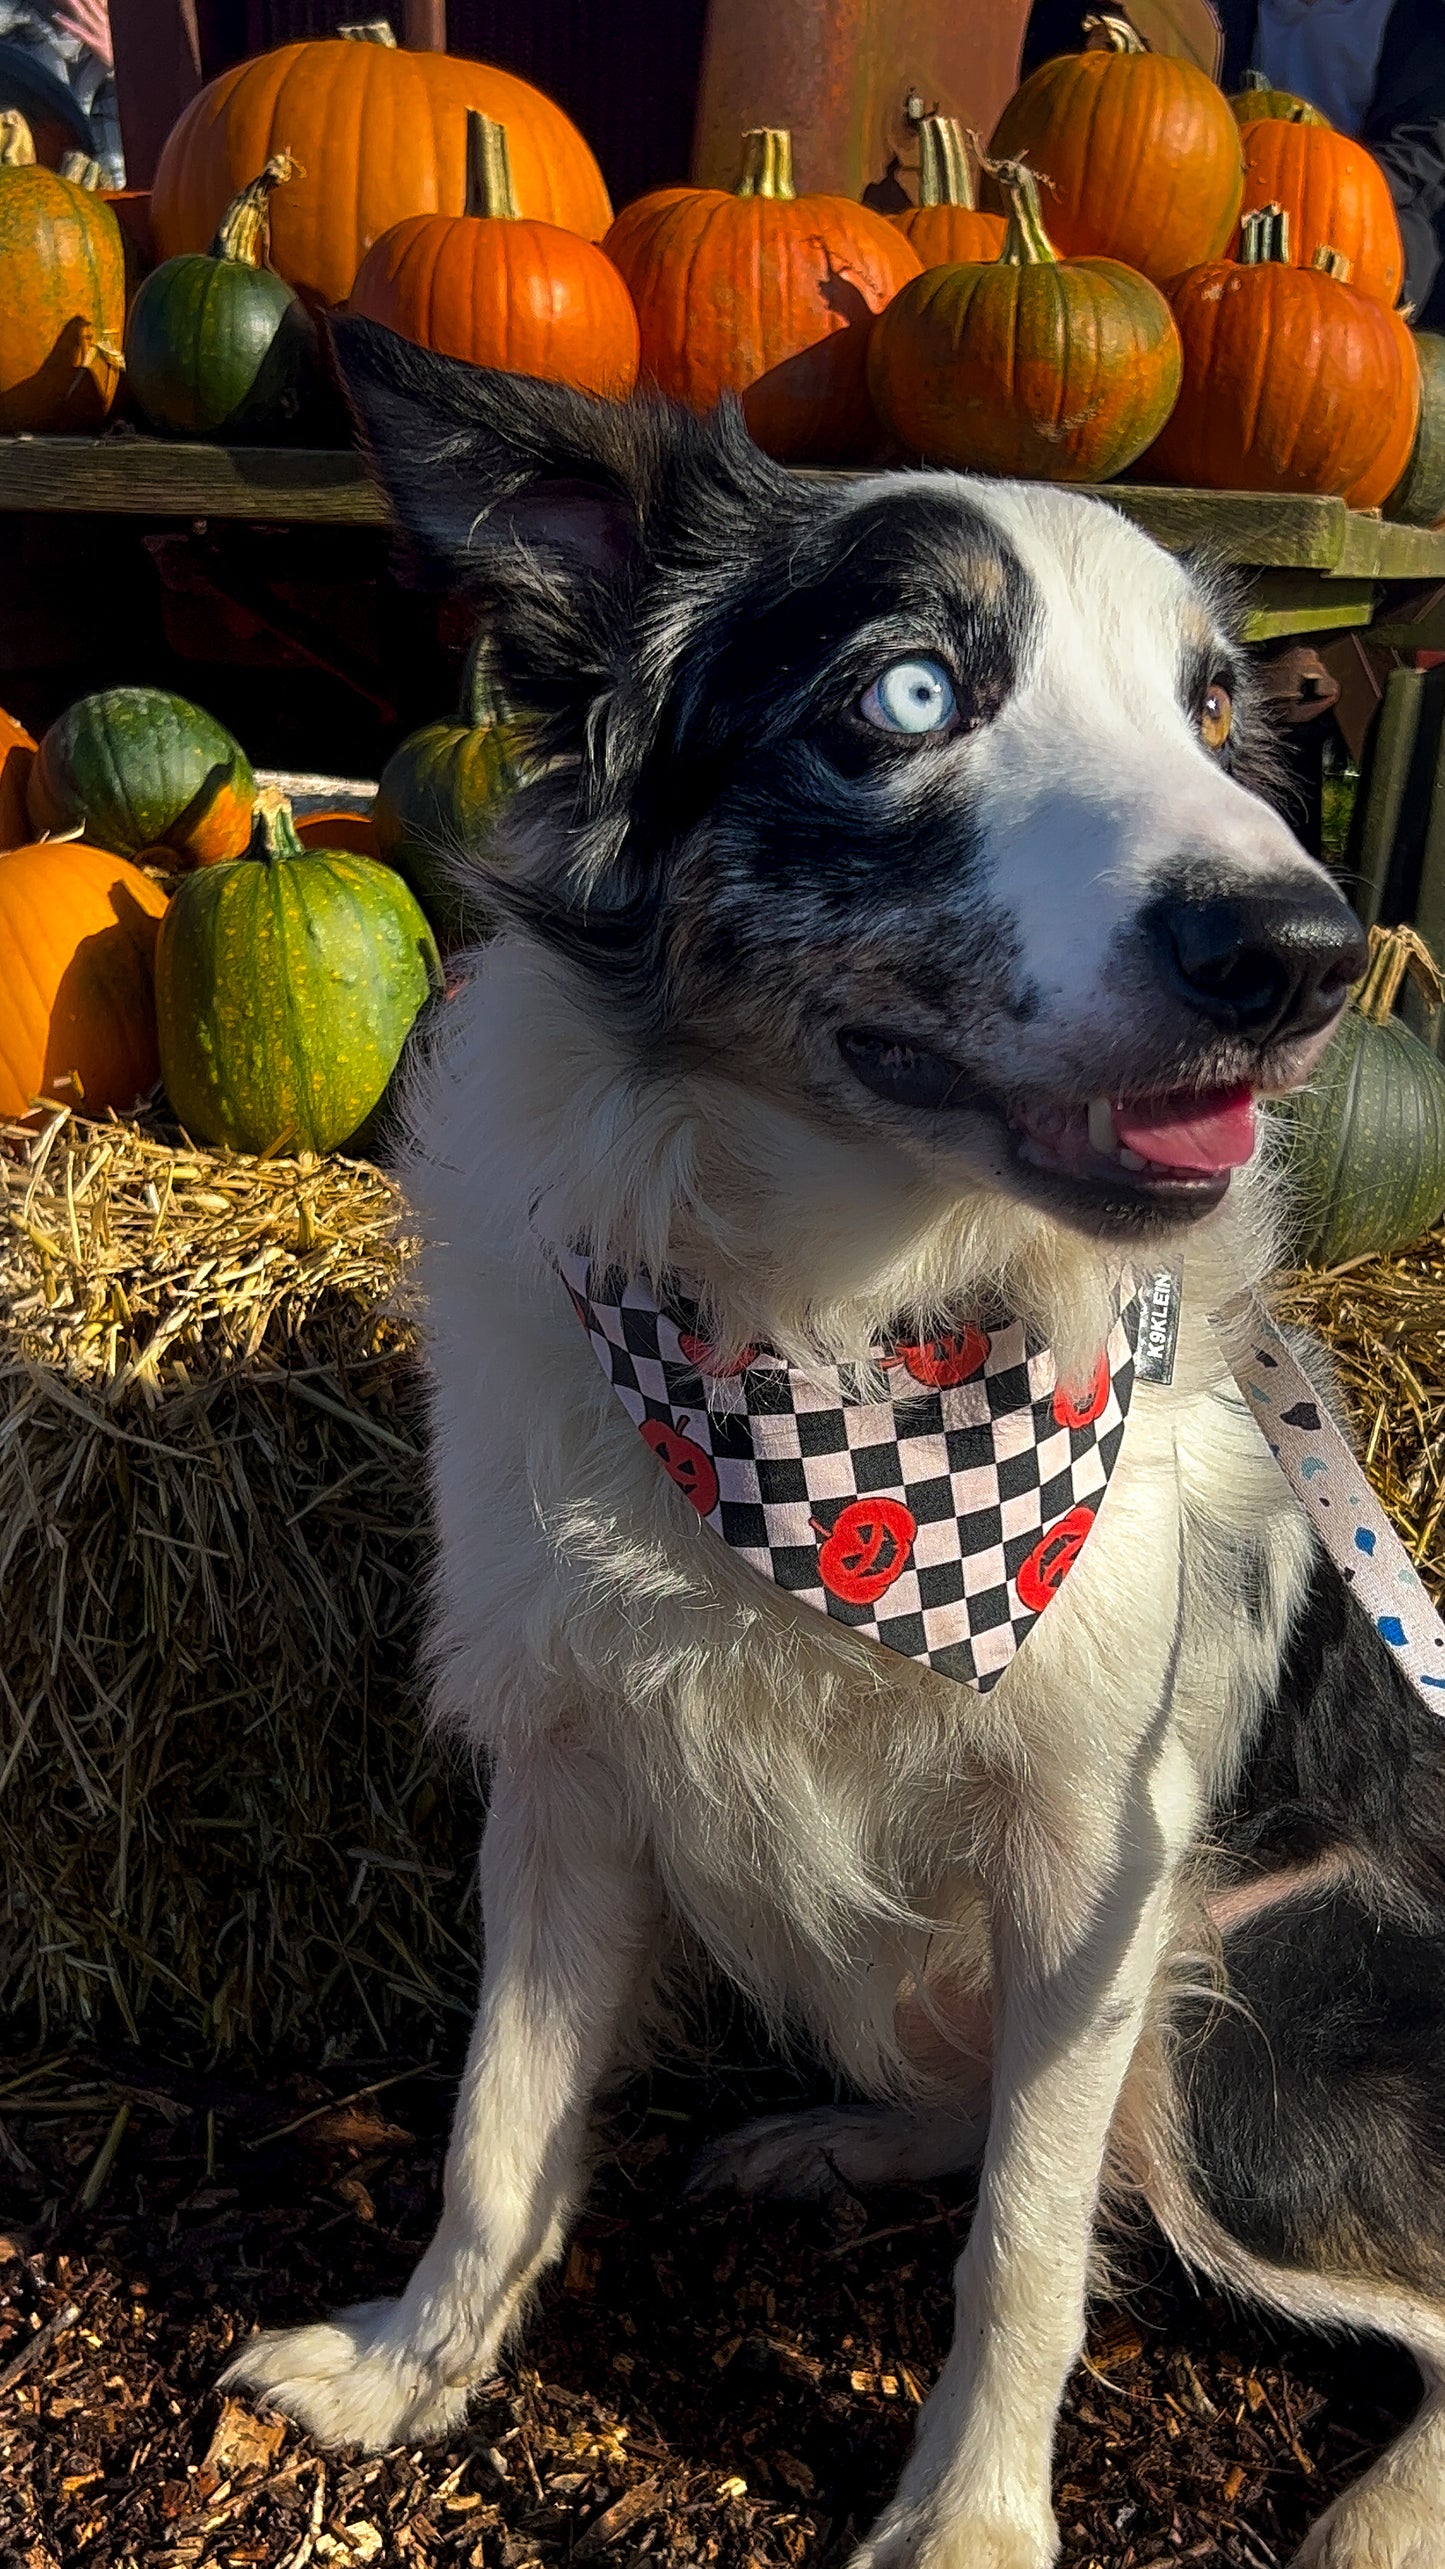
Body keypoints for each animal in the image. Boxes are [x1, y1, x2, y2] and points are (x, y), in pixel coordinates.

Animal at [227, 326, 1445, 2569]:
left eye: (1211, 712)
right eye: (908, 698)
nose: (1303, 957)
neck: (849, 1345)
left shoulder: (1094, 1848)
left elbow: (1028, 2250)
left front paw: (967, 2522)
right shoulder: (565, 1762)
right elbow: (497, 2118)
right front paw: (409, 2368)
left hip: (1239, 1994)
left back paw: (1381, 2511)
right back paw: (830, 2139)